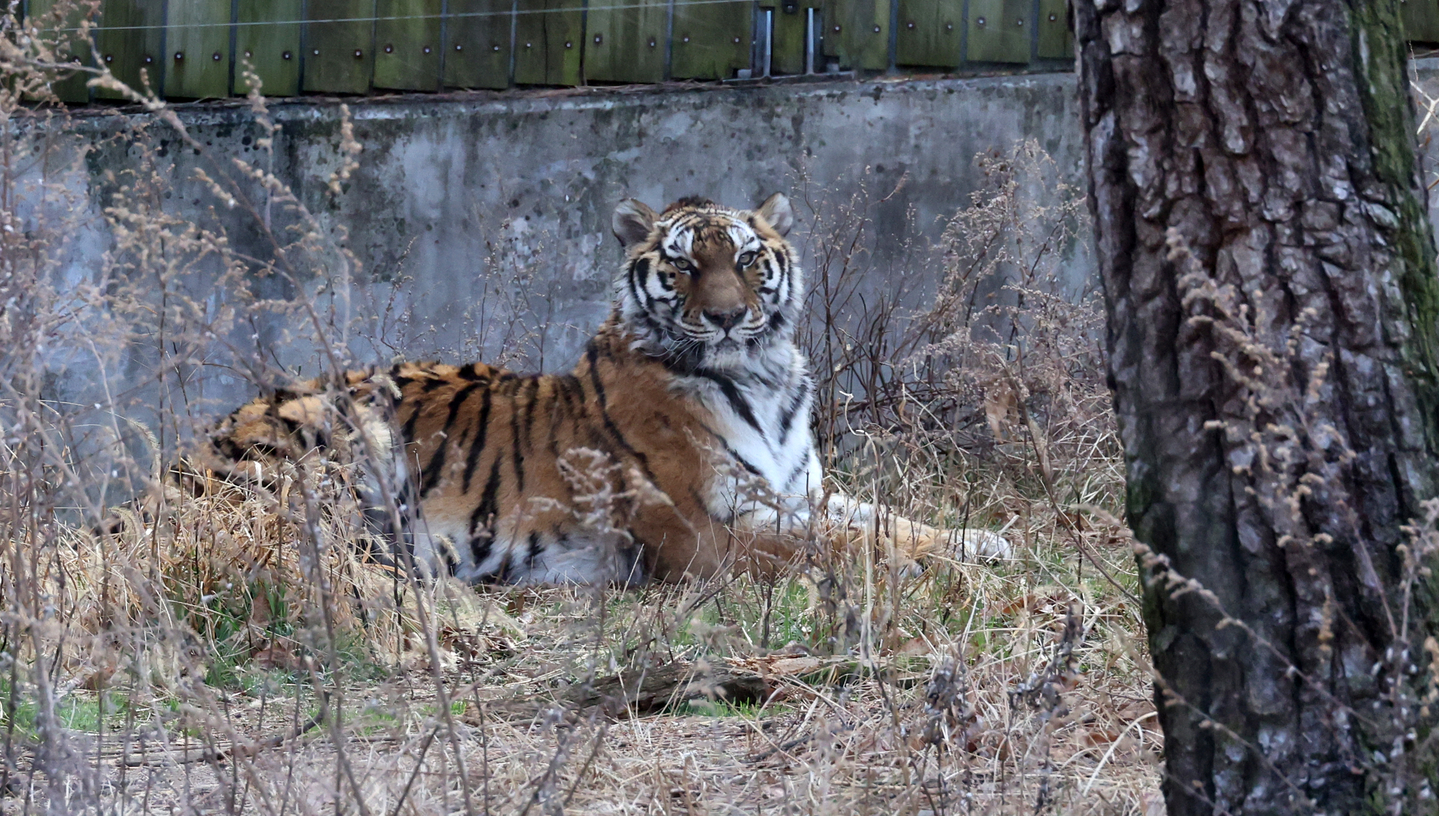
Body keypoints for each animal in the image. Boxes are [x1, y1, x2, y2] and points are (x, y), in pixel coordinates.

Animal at [167, 193, 1011, 585]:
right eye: (682, 265)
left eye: (746, 259)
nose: (727, 318)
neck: (761, 378)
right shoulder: (707, 530)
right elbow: (839, 543)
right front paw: (933, 564)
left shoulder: (796, 491)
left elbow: (882, 517)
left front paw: (980, 540)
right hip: (339, 436)